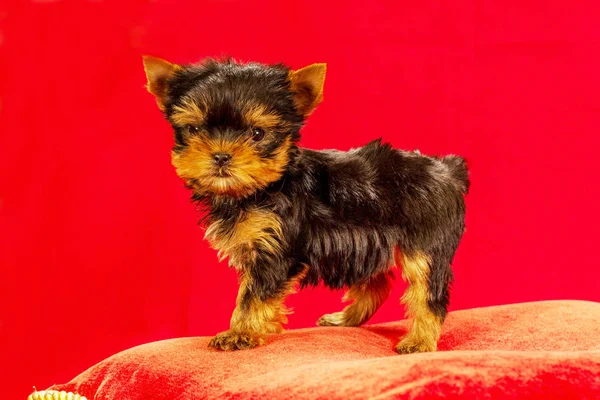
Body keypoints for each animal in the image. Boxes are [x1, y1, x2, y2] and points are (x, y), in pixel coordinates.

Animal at [142, 56, 468, 354]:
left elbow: (252, 295)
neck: (265, 188)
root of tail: (447, 169)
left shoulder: (275, 248)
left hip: (425, 243)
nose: (221, 156)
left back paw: (419, 341)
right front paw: (253, 328)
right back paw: (346, 319)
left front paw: (240, 333)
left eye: (257, 134)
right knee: (378, 283)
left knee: (428, 290)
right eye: (195, 130)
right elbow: (251, 291)